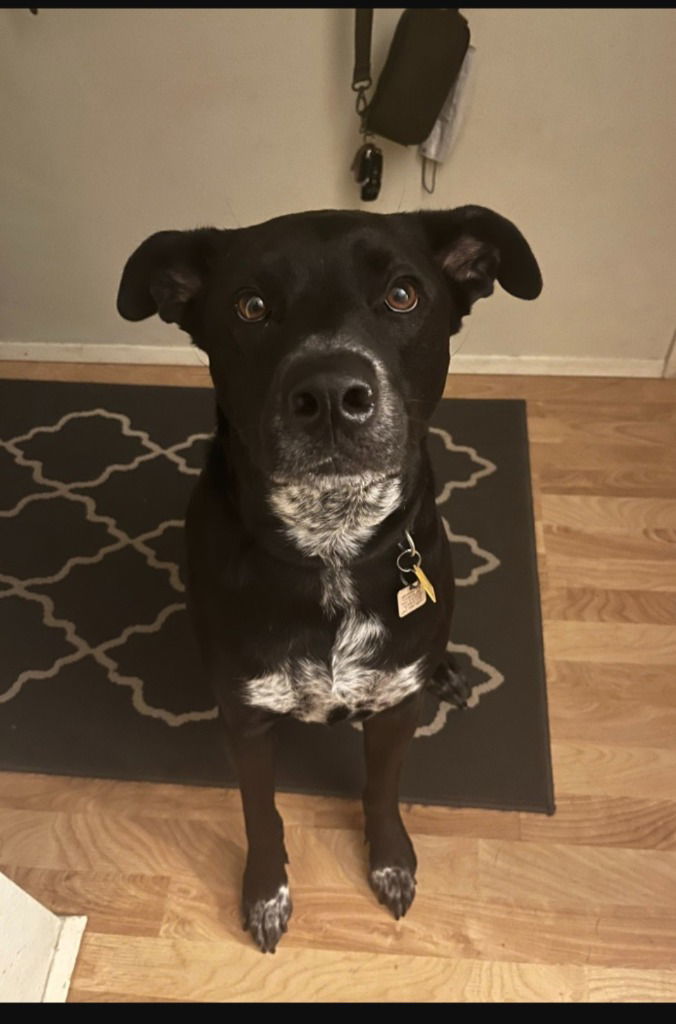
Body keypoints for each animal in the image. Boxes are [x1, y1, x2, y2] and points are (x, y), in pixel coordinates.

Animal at [114, 205, 536, 950]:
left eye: (403, 294)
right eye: (250, 306)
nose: (333, 393)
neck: (331, 546)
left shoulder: (395, 708)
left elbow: (381, 791)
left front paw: (392, 863)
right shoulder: (248, 722)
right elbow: (261, 815)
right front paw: (266, 894)